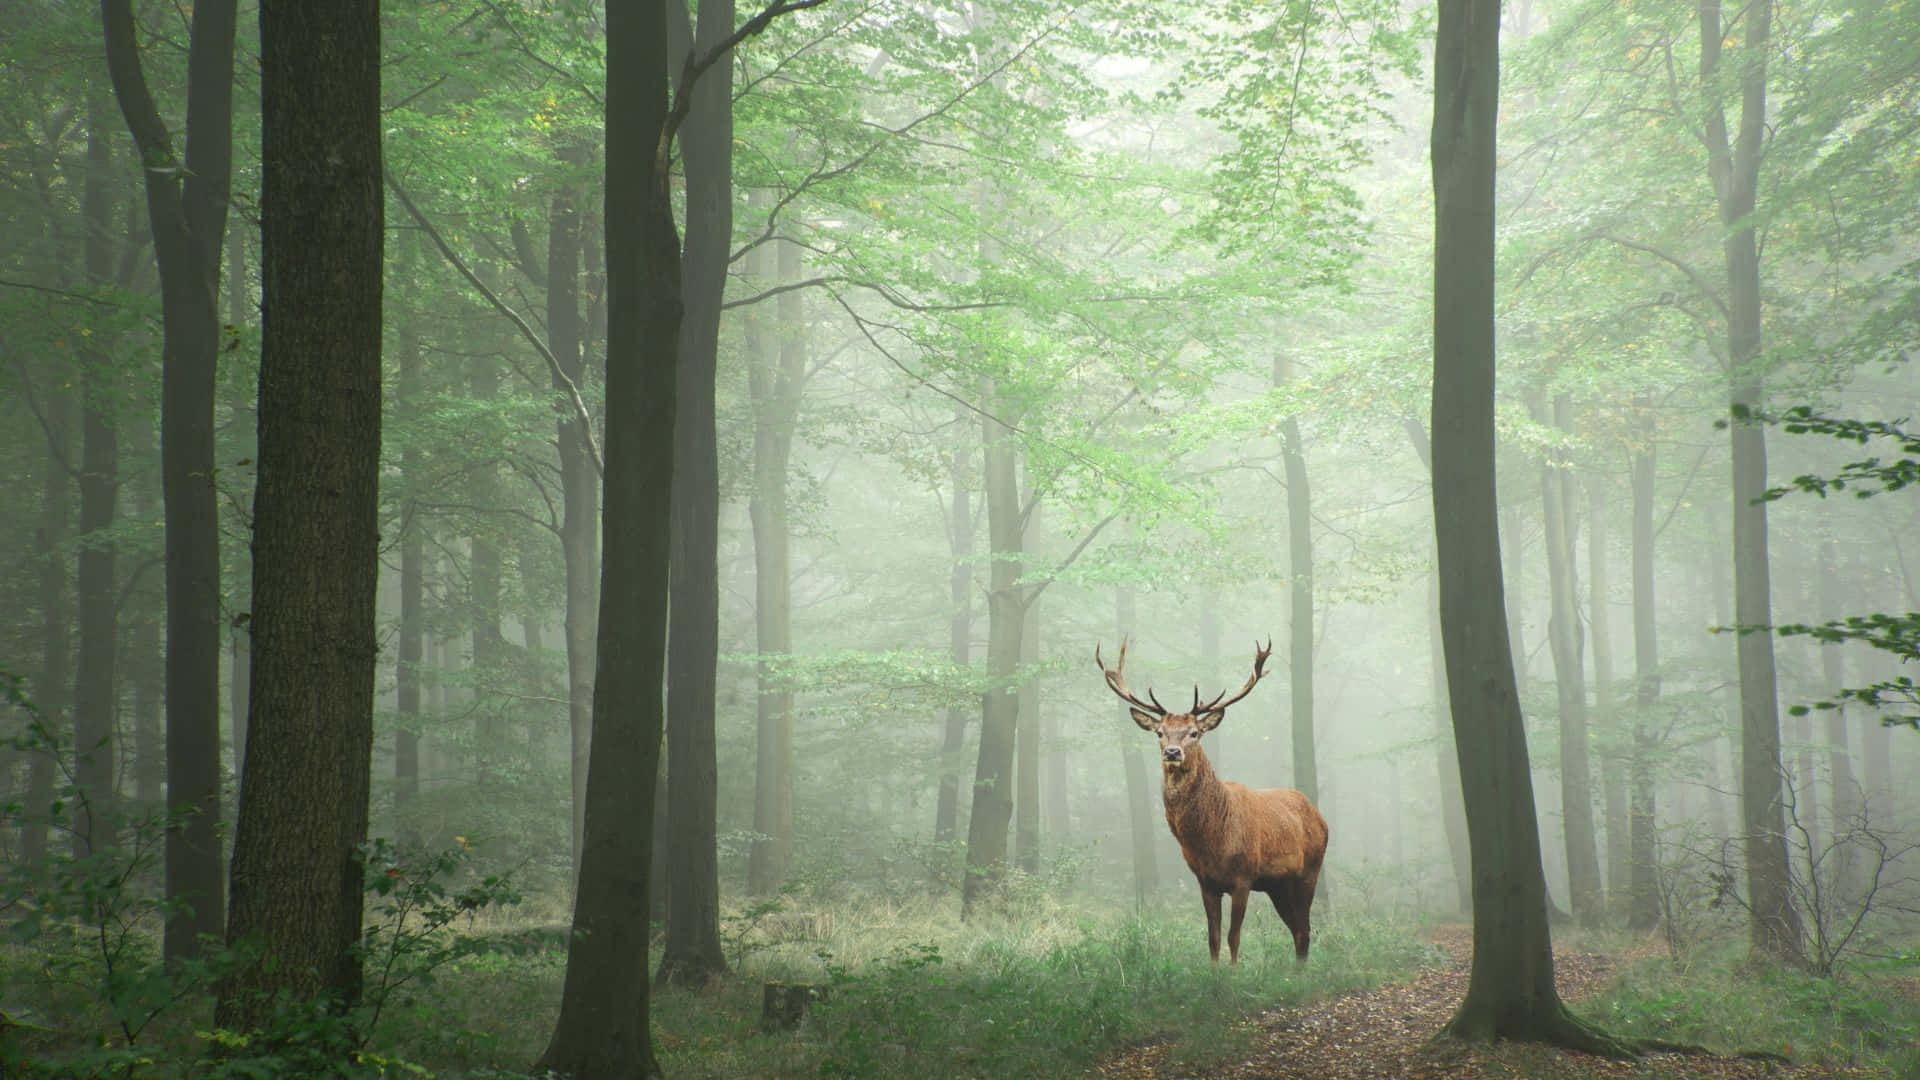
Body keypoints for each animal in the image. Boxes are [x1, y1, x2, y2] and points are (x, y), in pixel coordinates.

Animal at [1097, 638, 1328, 964]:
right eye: (1160, 732)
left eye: (1194, 732)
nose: (1172, 752)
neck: (1212, 841)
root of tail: (1320, 817)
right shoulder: (1205, 882)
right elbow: (1213, 938)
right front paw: (1215, 971)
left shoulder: (1244, 877)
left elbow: (1234, 937)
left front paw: (1232, 972)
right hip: (1277, 885)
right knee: (1297, 930)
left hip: (1310, 870)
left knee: (1304, 929)